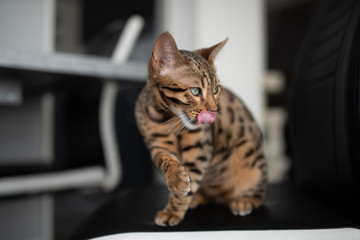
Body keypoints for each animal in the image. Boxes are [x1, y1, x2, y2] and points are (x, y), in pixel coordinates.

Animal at [135, 31, 268, 226]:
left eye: (216, 89)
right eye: (195, 91)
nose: (214, 110)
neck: (166, 120)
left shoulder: (199, 149)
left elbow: (191, 177)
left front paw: (173, 210)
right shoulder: (157, 145)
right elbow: (165, 161)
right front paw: (176, 179)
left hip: (253, 163)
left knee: (259, 194)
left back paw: (244, 201)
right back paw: (197, 198)